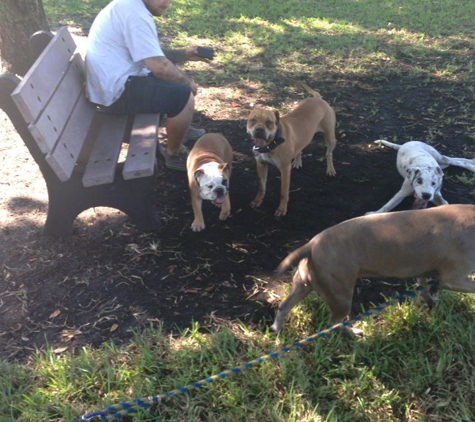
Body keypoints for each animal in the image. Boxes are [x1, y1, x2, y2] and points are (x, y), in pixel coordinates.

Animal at [245, 81, 338, 218]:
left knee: (329, 153)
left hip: (330, 137)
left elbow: (284, 192)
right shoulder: (261, 165)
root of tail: (317, 98)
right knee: (300, 148)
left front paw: (282, 209)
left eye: (269, 122)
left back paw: (330, 169)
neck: (272, 143)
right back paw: (297, 161)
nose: (259, 129)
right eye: (252, 120)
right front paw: (257, 201)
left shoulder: (284, 170)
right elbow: (261, 187)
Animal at [272, 205, 475, 336]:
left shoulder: (423, 273)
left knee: (284, 307)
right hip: (341, 296)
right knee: (333, 323)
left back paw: (276, 329)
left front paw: (431, 303)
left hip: (303, 285)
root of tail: (312, 244)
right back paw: (353, 333)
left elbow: (424, 289)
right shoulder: (453, 279)